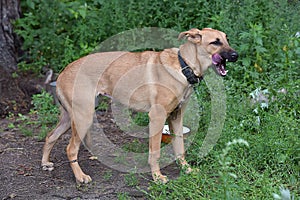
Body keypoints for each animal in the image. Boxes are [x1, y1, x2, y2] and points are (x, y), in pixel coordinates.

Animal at [41, 27, 239, 183]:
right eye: (215, 42)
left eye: (226, 39)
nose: (236, 55)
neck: (184, 66)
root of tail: (63, 72)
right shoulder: (157, 117)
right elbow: (155, 152)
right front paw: (157, 177)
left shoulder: (176, 117)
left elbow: (180, 148)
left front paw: (187, 170)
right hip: (83, 117)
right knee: (70, 149)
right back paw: (80, 177)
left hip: (70, 117)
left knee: (50, 136)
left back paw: (45, 163)